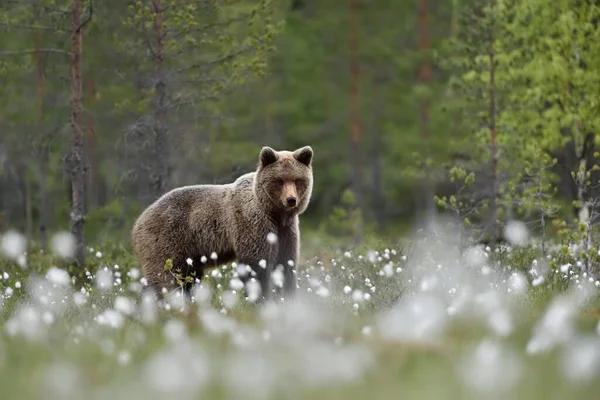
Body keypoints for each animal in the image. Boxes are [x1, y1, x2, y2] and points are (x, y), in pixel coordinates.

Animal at [131, 146, 314, 304]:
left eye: (297, 180)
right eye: (280, 180)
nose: (291, 200)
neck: (275, 213)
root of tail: (139, 221)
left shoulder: (286, 231)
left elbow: (286, 264)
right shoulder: (252, 224)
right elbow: (256, 265)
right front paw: (258, 299)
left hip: (189, 254)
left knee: (188, 279)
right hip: (167, 239)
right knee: (164, 277)